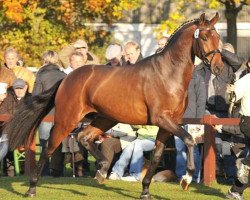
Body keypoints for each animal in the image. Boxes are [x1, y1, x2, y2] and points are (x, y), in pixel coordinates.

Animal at [3, 12, 223, 198]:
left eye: (218, 38)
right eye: (204, 38)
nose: (218, 68)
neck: (168, 74)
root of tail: (67, 78)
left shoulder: (168, 124)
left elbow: (157, 156)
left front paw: (145, 191)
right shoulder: (163, 119)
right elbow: (189, 140)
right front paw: (186, 179)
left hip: (104, 119)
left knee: (83, 137)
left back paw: (101, 170)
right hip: (67, 119)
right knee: (49, 146)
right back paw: (32, 188)